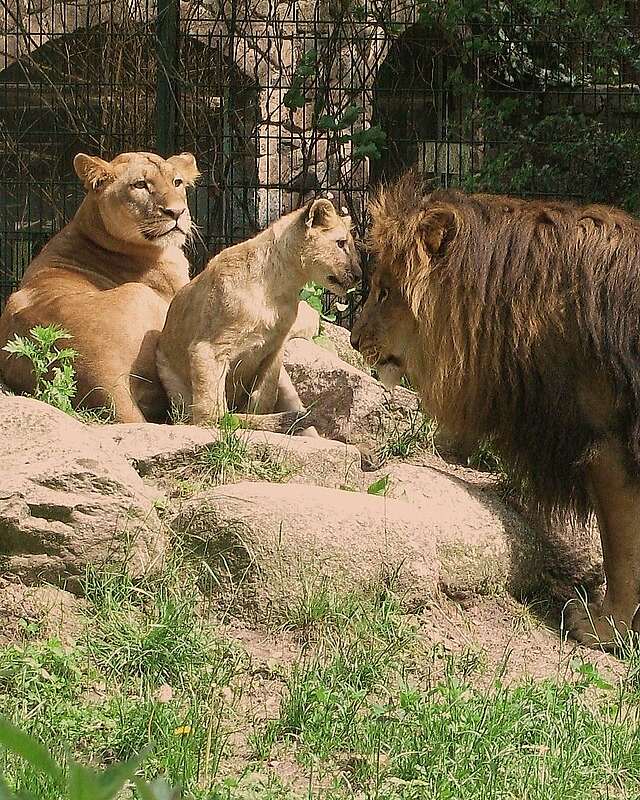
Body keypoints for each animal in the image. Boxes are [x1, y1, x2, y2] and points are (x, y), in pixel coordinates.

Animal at [156, 198, 360, 431]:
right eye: (341, 243)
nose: (359, 275)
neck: (282, 285)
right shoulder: (208, 348)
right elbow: (211, 402)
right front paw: (215, 426)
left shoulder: (274, 349)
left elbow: (264, 395)